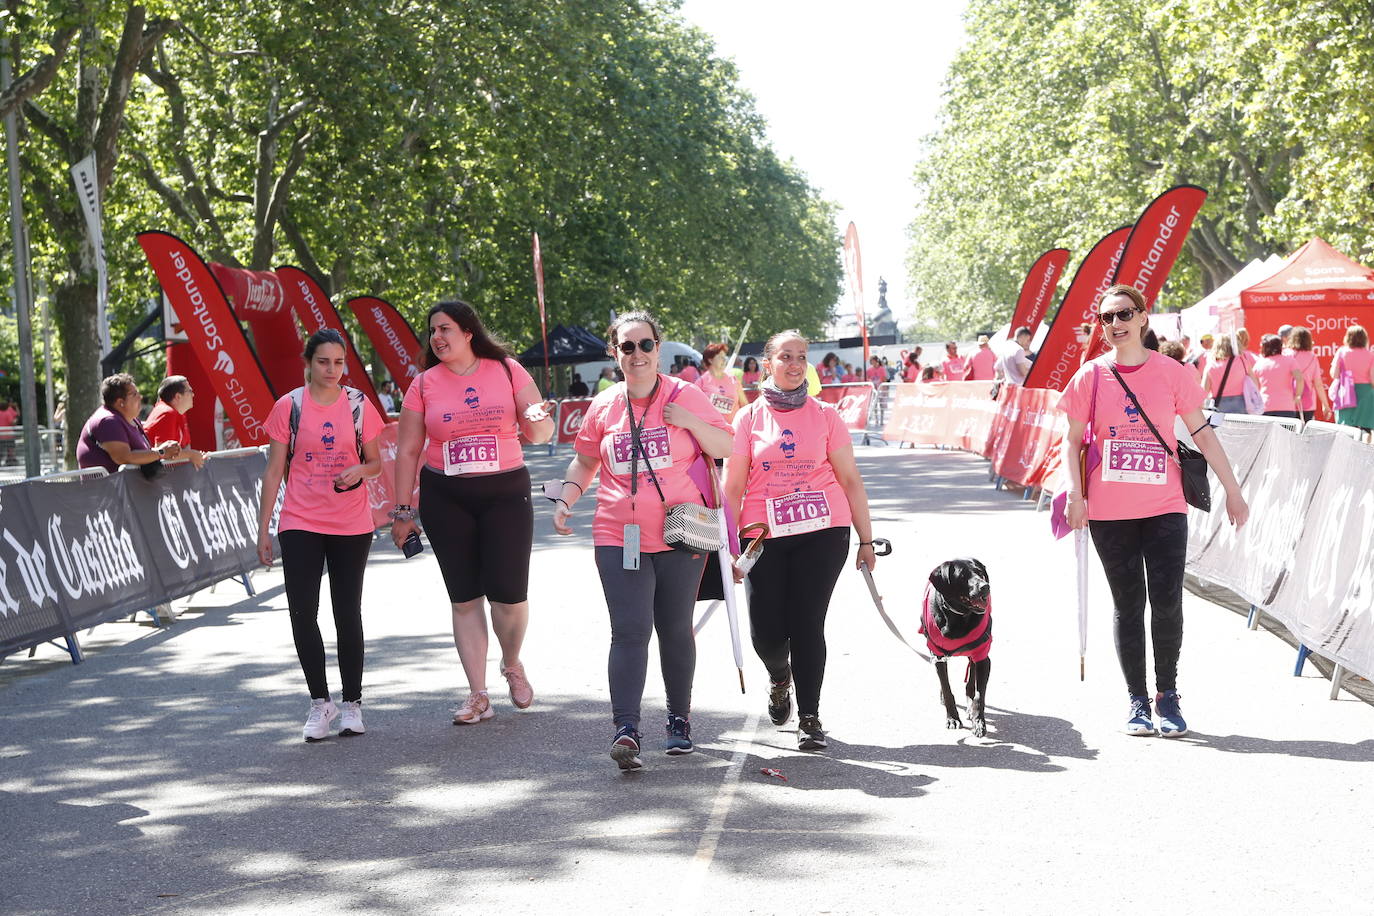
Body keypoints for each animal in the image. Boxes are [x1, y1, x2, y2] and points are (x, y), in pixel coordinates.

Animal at [923, 560, 989, 736]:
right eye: (963, 576)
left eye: (980, 572)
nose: (985, 586)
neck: (959, 617)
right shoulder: (938, 657)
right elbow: (946, 689)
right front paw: (952, 718)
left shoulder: (983, 656)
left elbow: (980, 695)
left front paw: (978, 721)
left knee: (971, 677)